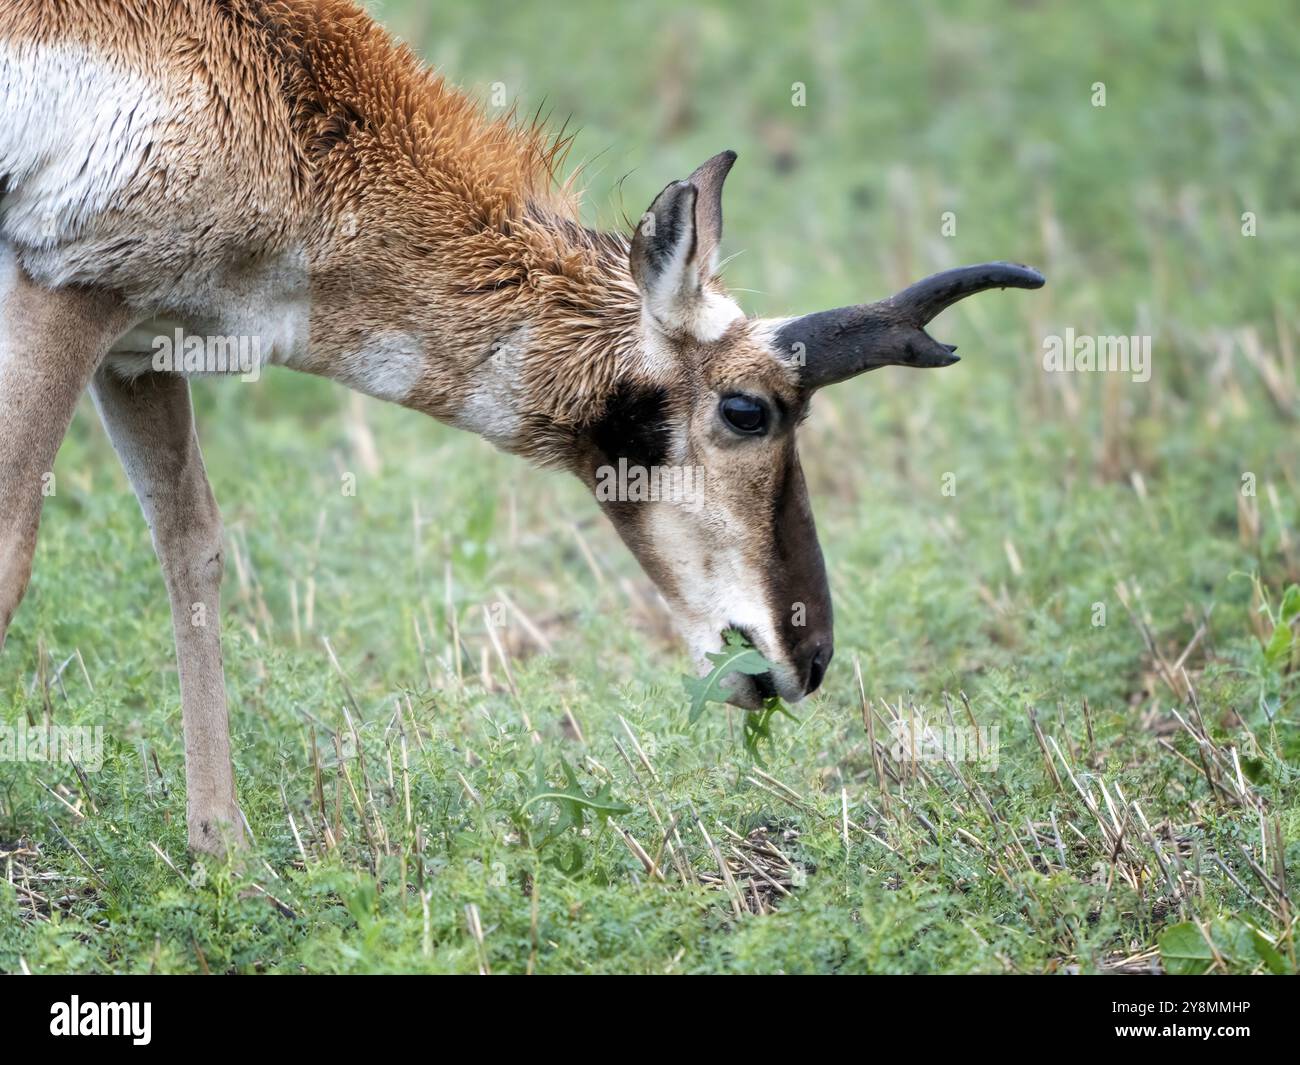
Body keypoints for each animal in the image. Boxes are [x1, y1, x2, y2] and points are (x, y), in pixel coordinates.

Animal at [0, 0, 1044, 855]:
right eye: (750, 408)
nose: (812, 656)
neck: (291, 101)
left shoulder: (138, 350)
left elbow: (194, 547)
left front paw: (228, 856)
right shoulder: (65, 298)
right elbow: (15, 554)